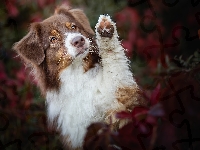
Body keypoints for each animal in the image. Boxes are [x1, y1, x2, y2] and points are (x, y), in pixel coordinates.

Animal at [13, 5, 141, 149]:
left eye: (73, 27)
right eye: (53, 39)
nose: (78, 40)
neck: (78, 76)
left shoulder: (120, 101)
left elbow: (114, 63)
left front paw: (105, 29)